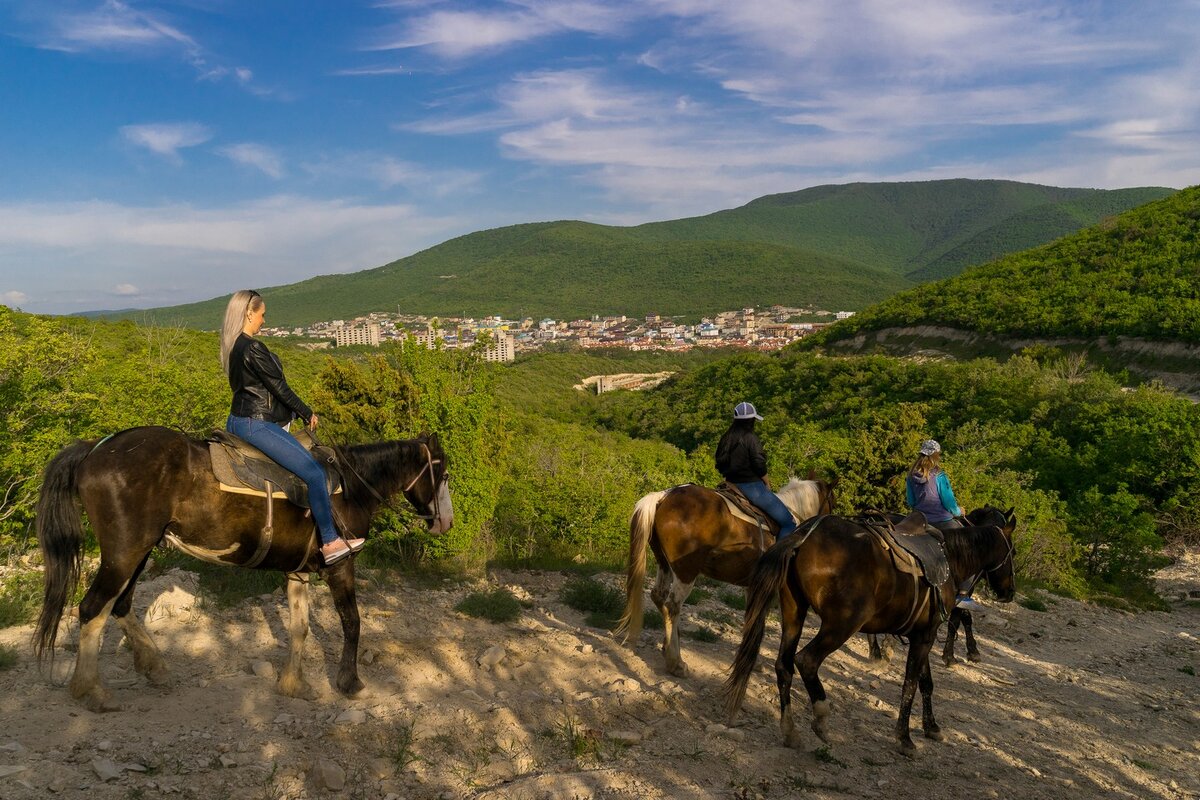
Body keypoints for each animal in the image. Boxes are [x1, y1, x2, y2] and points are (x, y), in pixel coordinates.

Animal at [35, 424, 453, 714]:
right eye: (444, 473)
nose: (444, 522)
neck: (351, 488)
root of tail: (93, 451)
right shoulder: (341, 565)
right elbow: (352, 621)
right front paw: (349, 682)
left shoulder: (297, 572)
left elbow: (299, 628)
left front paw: (293, 684)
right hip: (125, 551)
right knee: (93, 608)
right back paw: (91, 690)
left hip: (139, 551)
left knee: (120, 605)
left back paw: (154, 666)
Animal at [609, 479, 835, 681]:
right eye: (831, 502)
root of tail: (664, 496)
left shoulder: (752, 587)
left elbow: (751, 618)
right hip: (686, 570)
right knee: (672, 605)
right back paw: (676, 663)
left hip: (664, 563)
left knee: (659, 597)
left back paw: (668, 647)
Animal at [720, 510, 1012, 753]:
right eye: (1012, 551)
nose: (1008, 593)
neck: (950, 558)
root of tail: (805, 534)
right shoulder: (925, 637)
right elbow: (910, 685)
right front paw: (905, 739)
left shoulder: (921, 635)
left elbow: (925, 683)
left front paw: (932, 728)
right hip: (842, 624)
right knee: (806, 660)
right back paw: (822, 719)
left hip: (794, 612)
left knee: (784, 664)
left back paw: (790, 732)